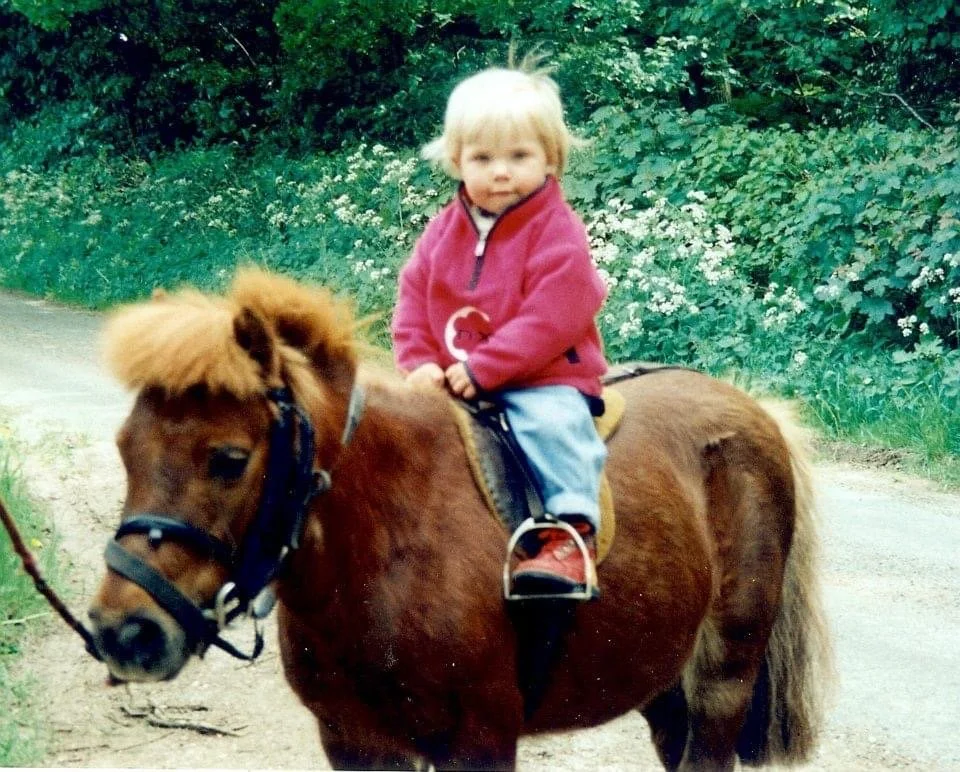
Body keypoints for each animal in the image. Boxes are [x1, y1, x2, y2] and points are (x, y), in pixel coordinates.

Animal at [87, 268, 832, 771]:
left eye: (230, 459)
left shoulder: (479, 738)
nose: (126, 631)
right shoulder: (354, 741)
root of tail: (756, 413)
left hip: (723, 680)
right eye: (125, 447)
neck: (388, 542)